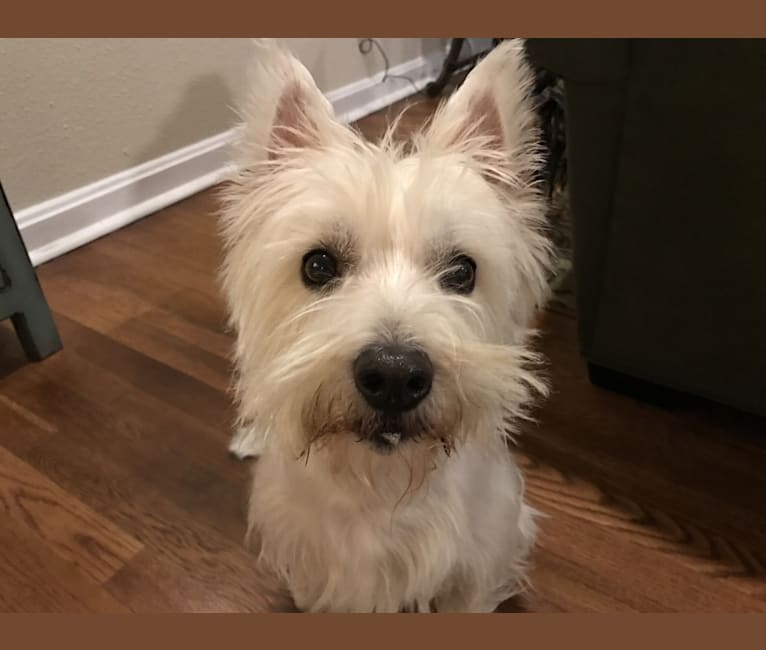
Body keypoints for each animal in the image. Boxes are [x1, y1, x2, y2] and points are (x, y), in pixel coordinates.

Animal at [219, 40, 556, 612]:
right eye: (318, 265)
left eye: (462, 271)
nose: (395, 375)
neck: (380, 485)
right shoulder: (318, 570)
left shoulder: (477, 563)